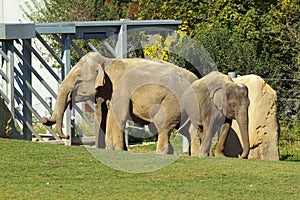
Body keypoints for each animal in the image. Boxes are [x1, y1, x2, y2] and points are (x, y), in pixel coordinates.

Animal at [41, 51, 197, 153]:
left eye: (78, 77)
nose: (44, 120)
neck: (106, 62)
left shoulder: (120, 91)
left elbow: (117, 115)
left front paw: (118, 150)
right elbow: (104, 114)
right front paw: (111, 150)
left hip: (172, 101)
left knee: (163, 125)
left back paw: (162, 154)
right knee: (187, 129)